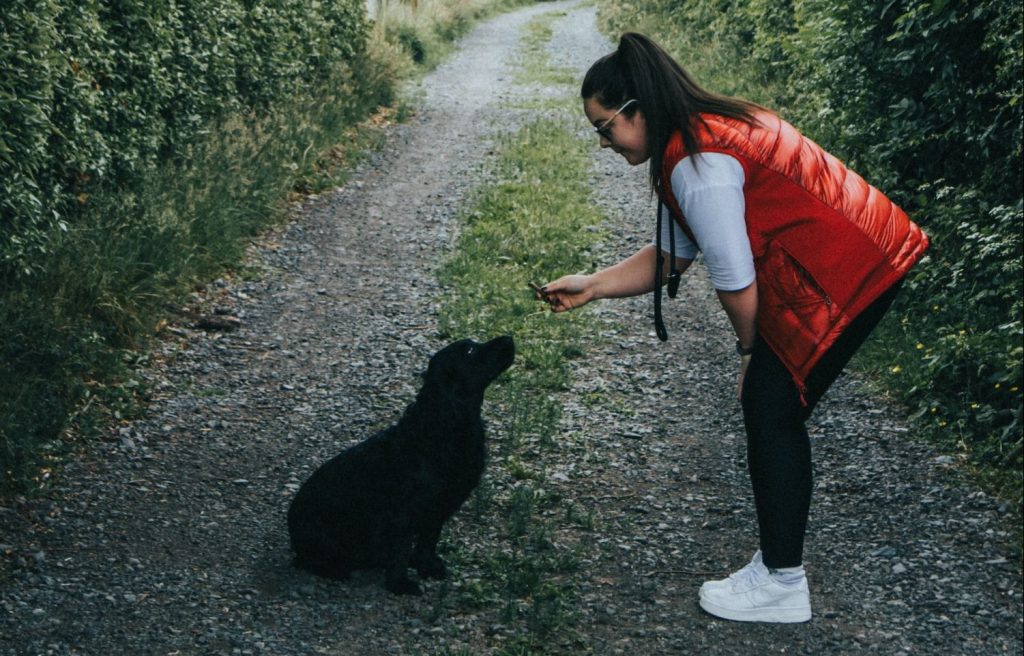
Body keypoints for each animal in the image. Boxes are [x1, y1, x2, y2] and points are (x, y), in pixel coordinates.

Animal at [286, 335, 512, 597]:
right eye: (470, 351)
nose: (510, 338)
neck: (441, 428)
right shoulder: (404, 516)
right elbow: (400, 553)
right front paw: (400, 584)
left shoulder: (437, 510)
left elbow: (428, 542)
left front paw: (427, 566)